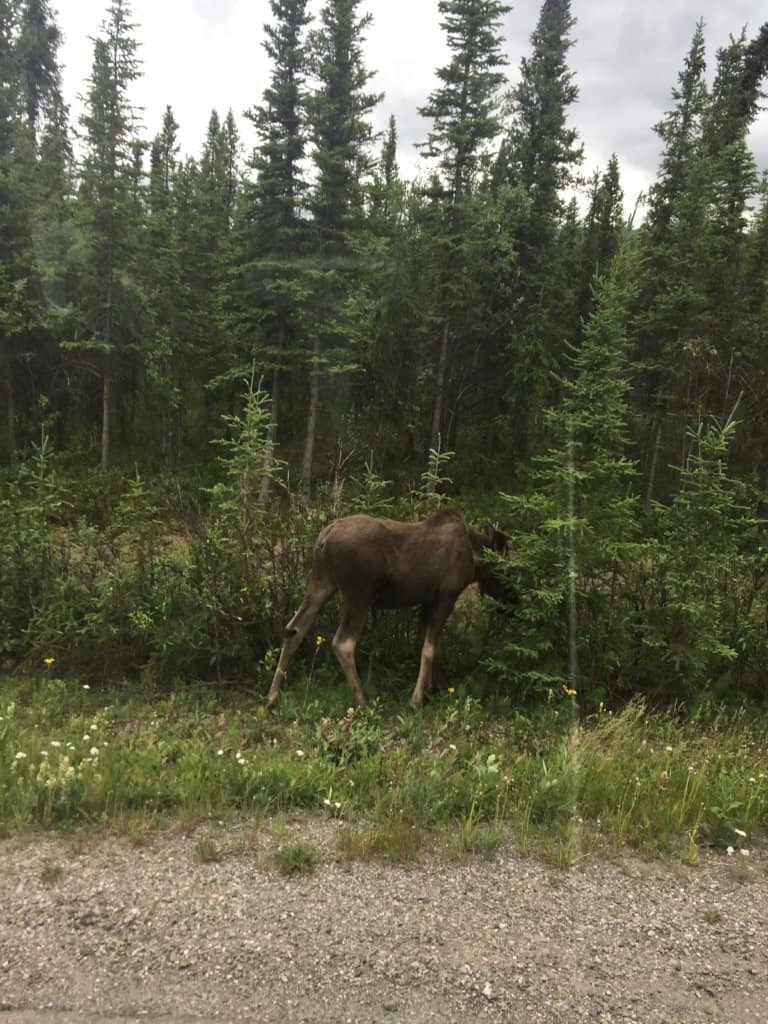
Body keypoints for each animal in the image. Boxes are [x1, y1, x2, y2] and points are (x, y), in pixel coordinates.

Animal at [266, 507, 512, 708]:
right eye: (503, 566)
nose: (513, 599)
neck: (474, 557)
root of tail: (324, 538)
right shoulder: (446, 596)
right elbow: (429, 650)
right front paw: (417, 700)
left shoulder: (427, 602)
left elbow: (431, 647)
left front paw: (437, 688)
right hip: (359, 595)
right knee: (343, 642)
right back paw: (363, 701)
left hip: (321, 583)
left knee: (295, 629)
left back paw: (271, 697)